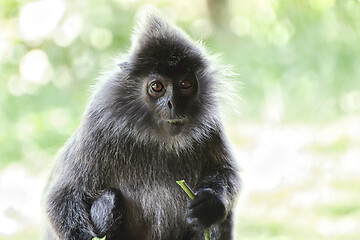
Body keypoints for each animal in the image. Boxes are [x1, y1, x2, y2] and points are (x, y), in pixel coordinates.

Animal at [45, 8, 240, 239]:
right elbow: (63, 196)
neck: (158, 136)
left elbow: (226, 171)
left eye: (185, 84)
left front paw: (210, 204)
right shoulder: (99, 124)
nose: (173, 103)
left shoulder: (211, 125)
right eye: (157, 87)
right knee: (109, 198)